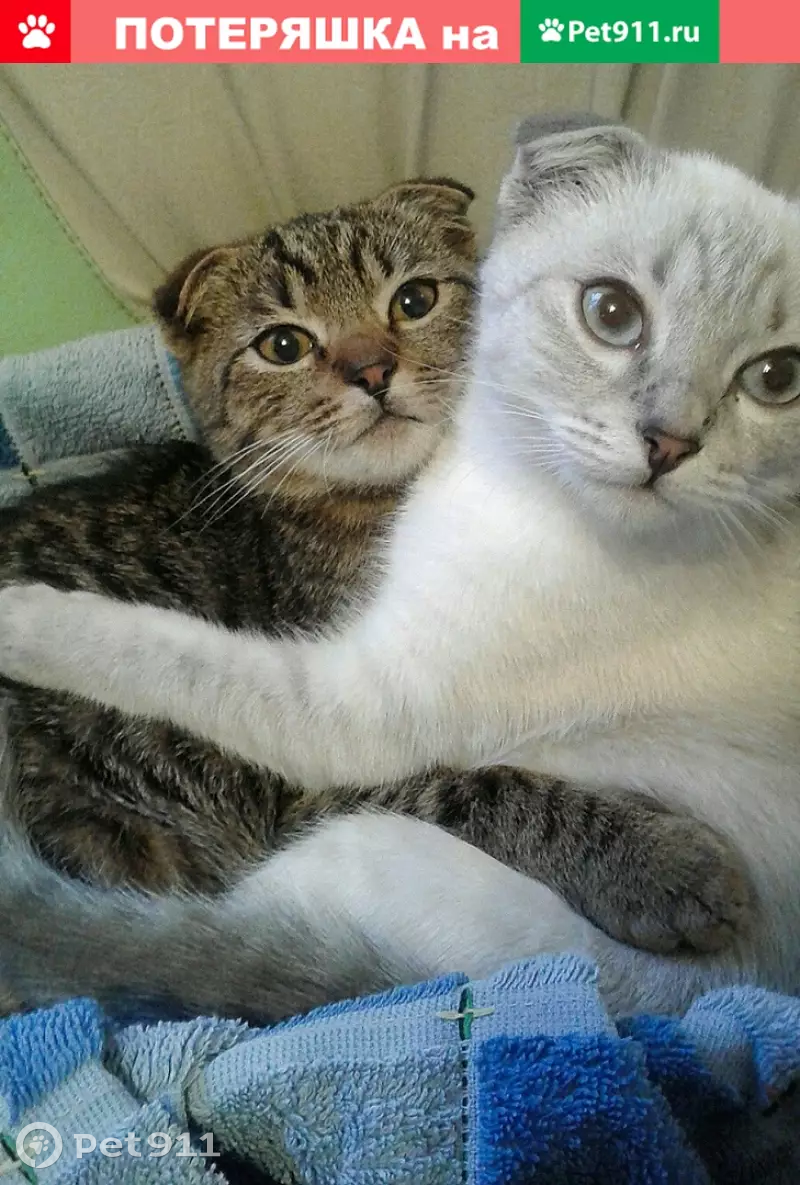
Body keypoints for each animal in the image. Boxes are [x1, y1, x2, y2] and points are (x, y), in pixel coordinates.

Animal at [1, 121, 781, 1021]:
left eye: (413, 300)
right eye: (283, 345)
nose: (371, 370)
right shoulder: (306, 781)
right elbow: (480, 786)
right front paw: (657, 864)